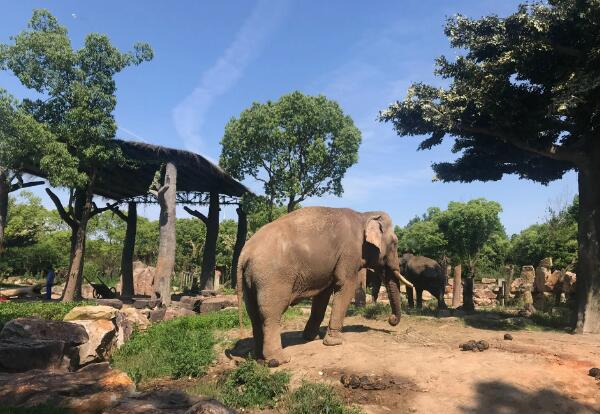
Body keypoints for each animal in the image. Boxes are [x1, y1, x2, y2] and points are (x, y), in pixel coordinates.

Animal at [237, 207, 414, 366]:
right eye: (395, 243)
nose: (391, 320)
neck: (364, 214)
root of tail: (244, 253)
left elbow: (323, 295)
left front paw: (310, 338)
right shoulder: (350, 253)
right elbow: (345, 286)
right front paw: (336, 341)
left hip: (250, 280)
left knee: (253, 314)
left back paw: (259, 358)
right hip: (273, 278)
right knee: (271, 314)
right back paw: (279, 360)